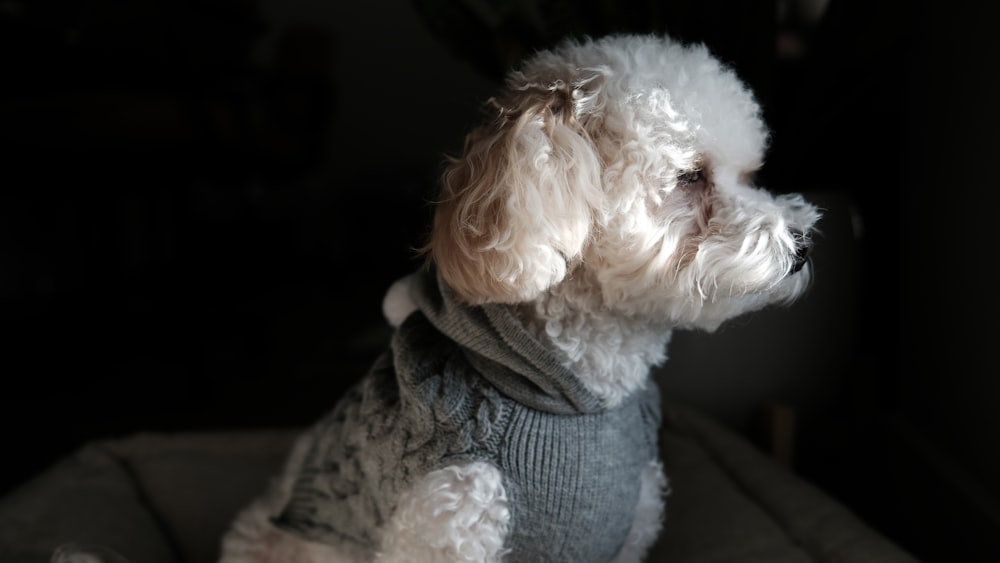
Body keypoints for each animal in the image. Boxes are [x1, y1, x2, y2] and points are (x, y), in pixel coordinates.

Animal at [219, 34, 820, 563]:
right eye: (691, 177)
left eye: (749, 175)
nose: (803, 244)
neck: (582, 399)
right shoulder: (446, 525)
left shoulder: (633, 525)